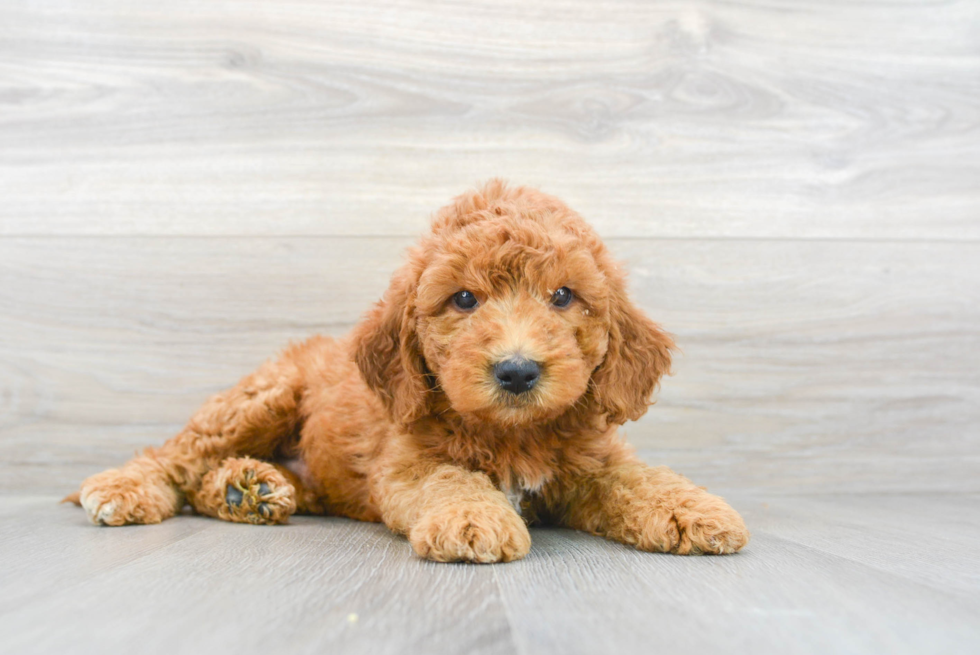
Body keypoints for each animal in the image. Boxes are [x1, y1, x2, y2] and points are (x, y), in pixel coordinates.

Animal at [67, 179, 752, 564]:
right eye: (464, 299)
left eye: (563, 296)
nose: (517, 371)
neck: (513, 434)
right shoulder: (408, 461)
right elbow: (448, 480)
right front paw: (472, 519)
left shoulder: (592, 461)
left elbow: (637, 480)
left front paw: (698, 512)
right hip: (261, 398)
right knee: (176, 456)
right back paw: (131, 488)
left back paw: (250, 491)